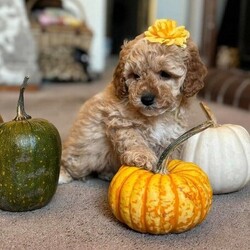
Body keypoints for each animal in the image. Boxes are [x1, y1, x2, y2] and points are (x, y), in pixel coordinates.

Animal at [59, 19, 207, 184]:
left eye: (165, 74)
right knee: (69, 159)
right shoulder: (119, 120)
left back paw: (106, 173)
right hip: (86, 154)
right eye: (135, 76)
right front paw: (143, 156)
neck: (156, 117)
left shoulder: (170, 135)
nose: (146, 99)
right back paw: (63, 174)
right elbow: (133, 138)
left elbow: (169, 153)